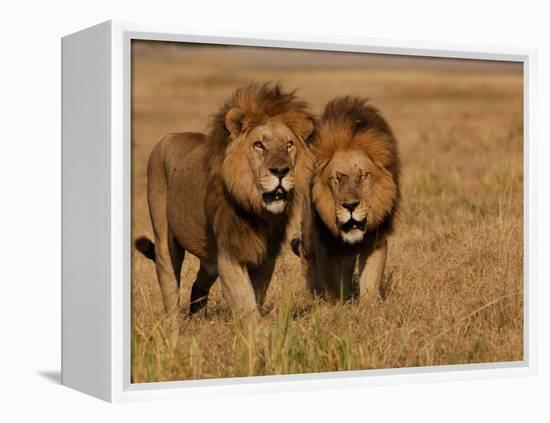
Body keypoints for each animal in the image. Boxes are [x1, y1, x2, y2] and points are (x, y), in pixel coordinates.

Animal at [136, 83, 314, 322]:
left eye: (289, 145)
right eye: (259, 145)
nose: (280, 171)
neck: (257, 210)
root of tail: (170, 136)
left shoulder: (266, 256)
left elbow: (256, 297)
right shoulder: (229, 255)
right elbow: (246, 303)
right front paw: (257, 331)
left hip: (209, 258)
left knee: (198, 284)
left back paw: (197, 318)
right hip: (164, 238)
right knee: (170, 284)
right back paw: (175, 325)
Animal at [298, 97, 402, 302]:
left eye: (363, 176)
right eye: (337, 178)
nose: (350, 206)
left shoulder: (376, 240)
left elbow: (371, 278)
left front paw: (369, 304)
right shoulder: (325, 242)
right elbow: (330, 280)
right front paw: (335, 305)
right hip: (307, 237)